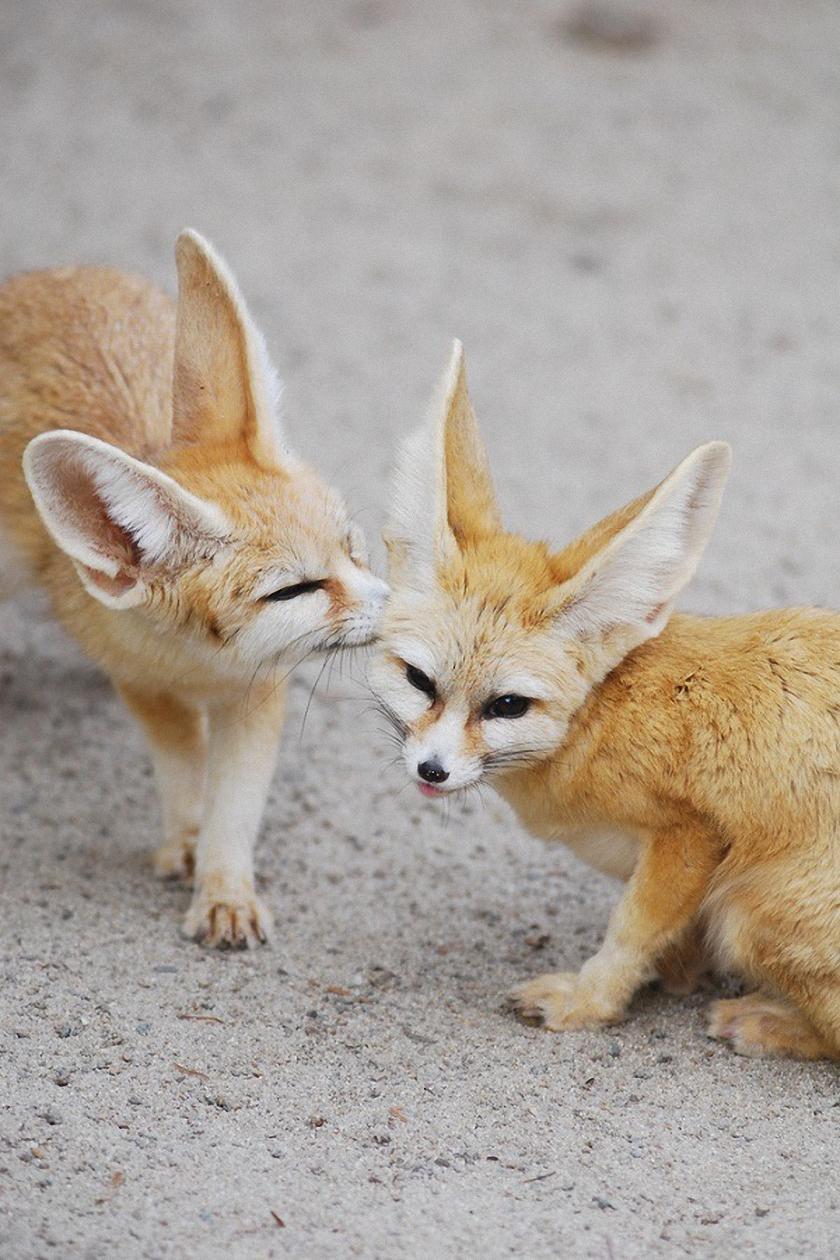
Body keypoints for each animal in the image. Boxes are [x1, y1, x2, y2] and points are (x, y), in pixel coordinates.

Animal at [0, 231, 387, 947]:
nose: (399, 609)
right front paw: (187, 839)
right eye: (297, 590)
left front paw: (226, 886)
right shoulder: (144, 685)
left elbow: (234, 802)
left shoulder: (259, 695)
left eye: (352, 547)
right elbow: (184, 766)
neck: (204, 663)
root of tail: (52, 277)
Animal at [375, 345, 840, 1063]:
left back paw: (769, 1022)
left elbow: (630, 931)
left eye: (507, 706)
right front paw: (674, 976)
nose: (432, 770)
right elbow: (667, 940)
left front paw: (589, 1002)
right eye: (419, 681)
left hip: (753, 910)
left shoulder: (692, 836)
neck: (603, 720)